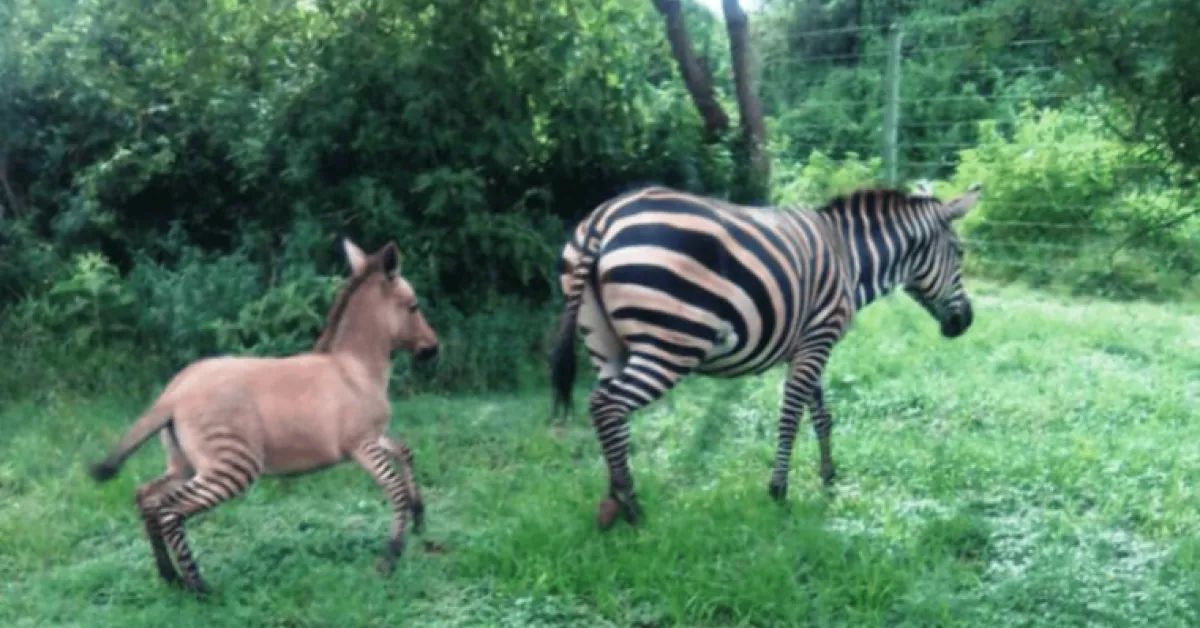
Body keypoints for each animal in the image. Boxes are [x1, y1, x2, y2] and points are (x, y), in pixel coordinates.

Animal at [547, 183, 982, 529]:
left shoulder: (808, 344)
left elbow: (821, 415)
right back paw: (633, 508)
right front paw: (779, 491)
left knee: (610, 415)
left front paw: (828, 479)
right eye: (959, 253)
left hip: (605, 344)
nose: (965, 323)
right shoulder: (818, 338)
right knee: (606, 405)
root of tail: (604, 217)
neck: (850, 258)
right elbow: (791, 416)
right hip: (671, 344)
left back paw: (613, 501)